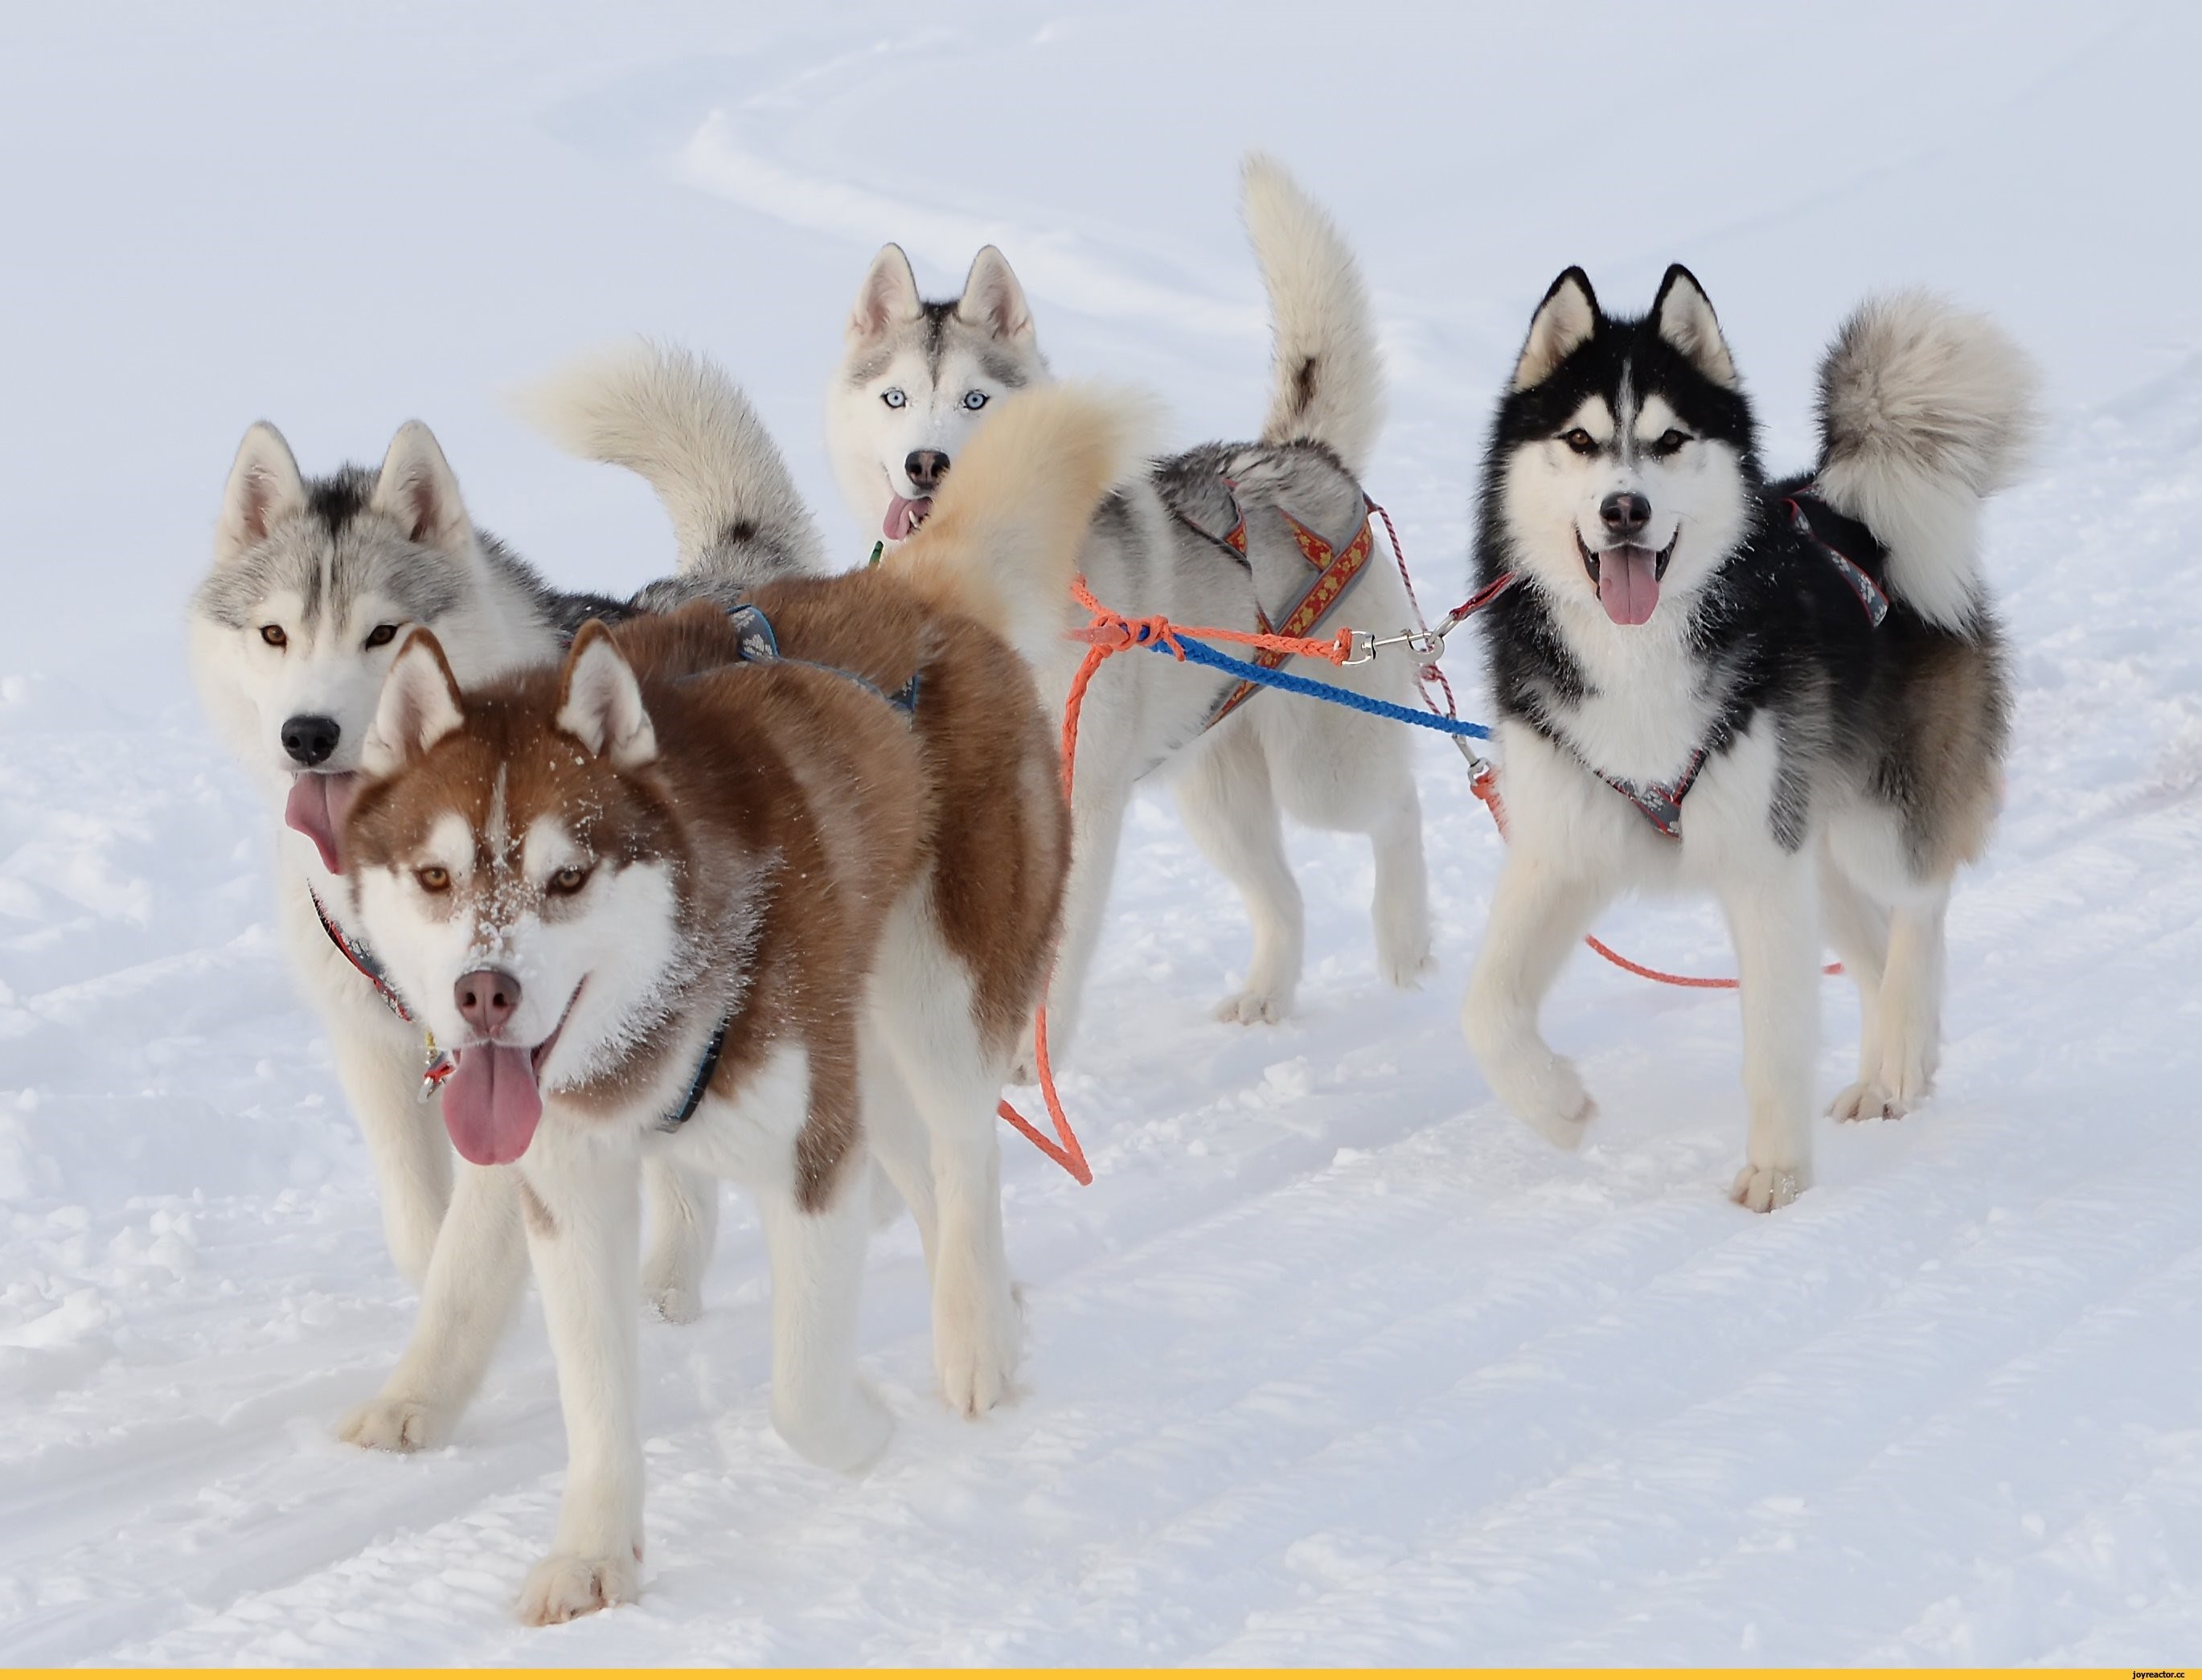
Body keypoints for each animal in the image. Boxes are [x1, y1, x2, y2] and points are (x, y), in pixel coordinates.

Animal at [187, 361, 827, 1321]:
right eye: (274, 634)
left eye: (384, 633)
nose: (308, 734)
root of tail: (716, 594)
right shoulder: (379, 1053)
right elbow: (422, 1234)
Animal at [343, 385, 1136, 1629]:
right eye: (435, 875)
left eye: (569, 876)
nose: (484, 992)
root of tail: (907, 589)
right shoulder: (572, 1190)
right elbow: (596, 1398)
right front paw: (596, 1551)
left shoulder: (809, 1157)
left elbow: (800, 1393)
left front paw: (867, 1428)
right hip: (862, 1044)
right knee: (921, 1162)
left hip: (941, 1003)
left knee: (965, 1158)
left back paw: (975, 1341)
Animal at [827, 160, 1426, 1079]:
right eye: (895, 397)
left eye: (976, 400)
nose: (926, 462)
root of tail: (1301, 457)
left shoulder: (1081, 803)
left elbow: (1056, 956)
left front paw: (1025, 1061)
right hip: (1214, 789)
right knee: (1283, 895)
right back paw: (1267, 993)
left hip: (1323, 767)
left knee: (1398, 808)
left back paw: (1406, 944)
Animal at [1453, 263, 2034, 1207]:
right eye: (1579, 439)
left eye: (1669, 439)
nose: (1623, 509)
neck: (1639, 652)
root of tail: (1844, 506)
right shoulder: (1561, 847)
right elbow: (1485, 1009)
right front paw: (1558, 1107)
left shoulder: (1760, 868)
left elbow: (1772, 1040)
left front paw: (1777, 1173)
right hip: (1813, 840)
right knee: (1869, 943)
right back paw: (1886, 1075)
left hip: (1872, 822)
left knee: (1919, 906)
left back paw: (1901, 1048)